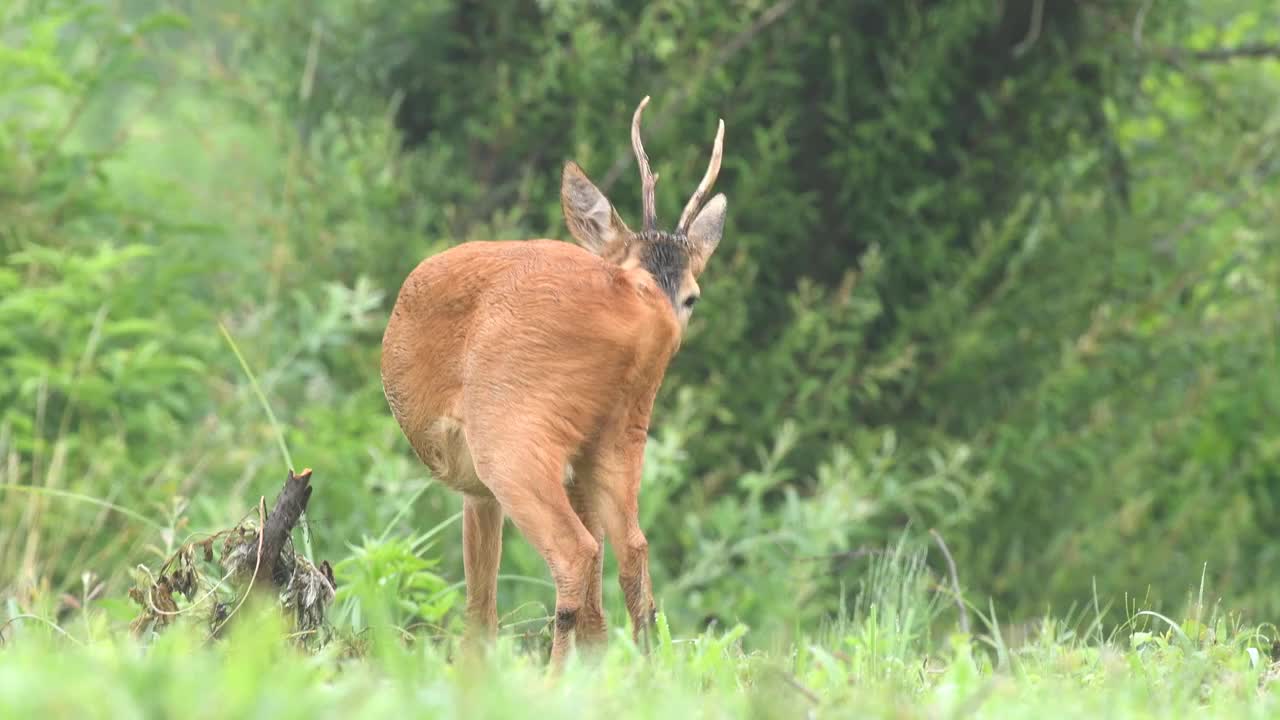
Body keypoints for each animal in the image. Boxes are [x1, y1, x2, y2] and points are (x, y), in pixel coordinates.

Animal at [378, 96, 727, 666]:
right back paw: (644, 669)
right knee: (633, 548)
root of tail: (643, 320)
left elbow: (480, 603)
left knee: (574, 551)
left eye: (692, 296)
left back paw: (555, 676)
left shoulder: (479, 484)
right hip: (623, 430)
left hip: (510, 432)